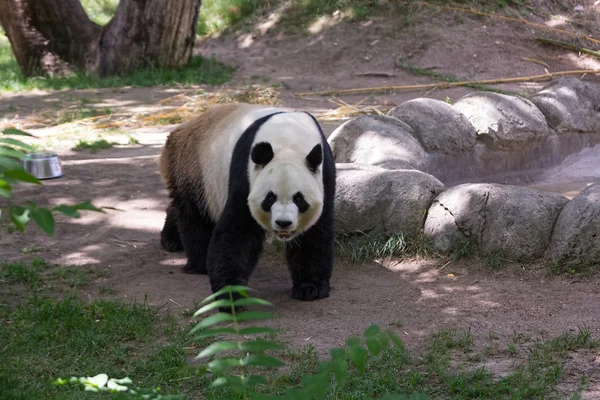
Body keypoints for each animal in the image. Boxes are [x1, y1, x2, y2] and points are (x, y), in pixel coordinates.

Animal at [159, 101, 336, 302]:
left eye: (299, 199)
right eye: (270, 198)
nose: (283, 223)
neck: (288, 139)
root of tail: (182, 128)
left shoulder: (324, 175)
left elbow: (314, 233)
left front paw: (310, 287)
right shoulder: (245, 174)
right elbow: (237, 229)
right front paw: (231, 293)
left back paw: (173, 239)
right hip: (194, 167)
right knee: (195, 215)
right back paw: (196, 259)